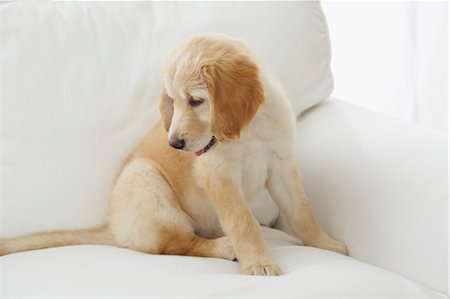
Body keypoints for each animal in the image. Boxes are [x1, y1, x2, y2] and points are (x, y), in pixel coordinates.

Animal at [0, 34, 348, 276]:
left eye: (195, 101)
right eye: (172, 101)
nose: (175, 144)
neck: (248, 132)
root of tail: (112, 227)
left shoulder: (281, 163)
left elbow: (302, 211)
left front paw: (326, 243)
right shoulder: (219, 175)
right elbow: (243, 220)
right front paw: (258, 262)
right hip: (144, 179)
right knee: (176, 243)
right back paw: (223, 246)